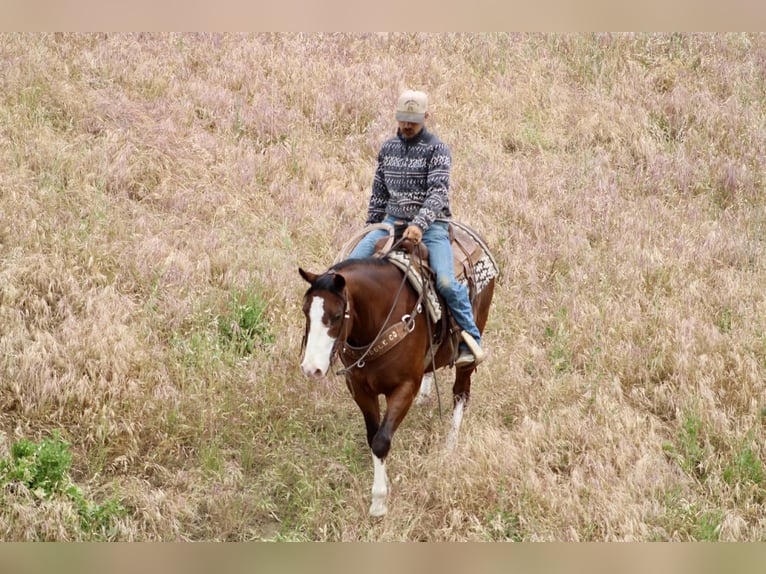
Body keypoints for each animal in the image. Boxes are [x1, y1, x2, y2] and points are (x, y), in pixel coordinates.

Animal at [298, 226, 496, 517]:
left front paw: (379, 502)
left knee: (461, 393)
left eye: (335, 316)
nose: (311, 368)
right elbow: (373, 437)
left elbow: (381, 440)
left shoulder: (404, 387)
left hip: (471, 342)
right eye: (305, 311)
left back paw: (451, 444)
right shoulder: (359, 389)